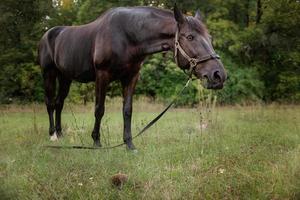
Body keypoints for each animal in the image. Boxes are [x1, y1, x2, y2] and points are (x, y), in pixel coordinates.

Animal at [37, 5, 225, 150]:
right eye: (190, 37)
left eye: (210, 38)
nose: (219, 75)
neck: (126, 36)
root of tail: (48, 34)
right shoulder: (102, 75)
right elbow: (99, 109)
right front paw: (96, 142)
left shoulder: (131, 77)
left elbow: (127, 110)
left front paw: (129, 144)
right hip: (49, 74)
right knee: (50, 103)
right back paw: (52, 135)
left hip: (65, 77)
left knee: (59, 103)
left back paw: (60, 133)